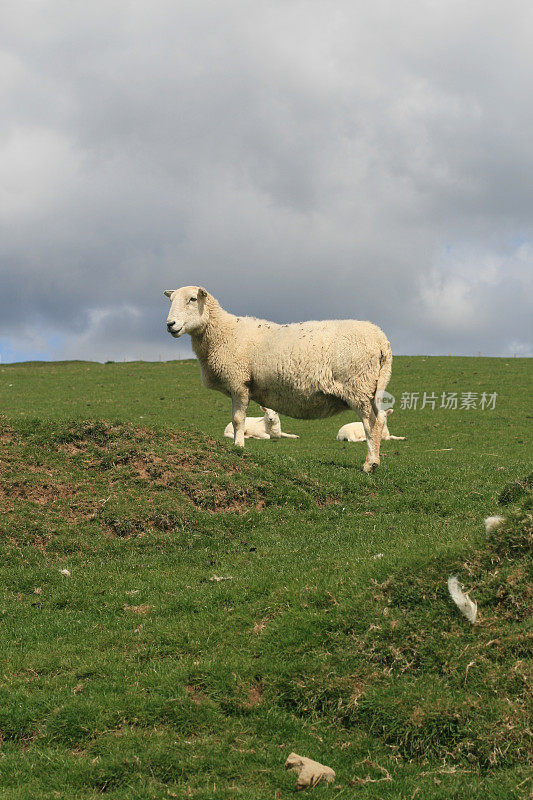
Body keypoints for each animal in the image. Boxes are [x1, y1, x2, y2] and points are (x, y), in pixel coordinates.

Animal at [164, 288, 392, 472]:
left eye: (193, 299)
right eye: (171, 300)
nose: (170, 325)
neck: (223, 331)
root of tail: (381, 339)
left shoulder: (239, 382)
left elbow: (238, 420)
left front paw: (238, 447)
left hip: (358, 386)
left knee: (371, 423)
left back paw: (370, 464)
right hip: (372, 388)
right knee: (380, 419)